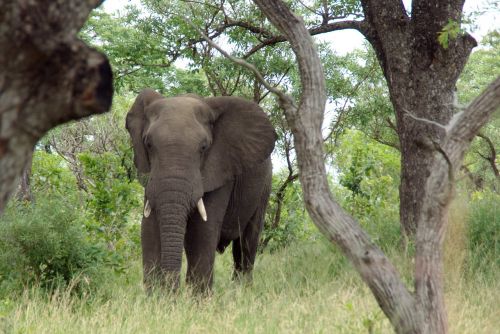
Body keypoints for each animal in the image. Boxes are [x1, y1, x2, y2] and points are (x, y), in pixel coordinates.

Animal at [125, 88, 278, 292]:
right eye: (148, 144)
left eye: (204, 147)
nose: (173, 292)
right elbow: (149, 230)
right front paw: (156, 297)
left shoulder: (220, 167)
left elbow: (202, 232)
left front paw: (198, 299)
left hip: (264, 186)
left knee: (247, 242)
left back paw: (242, 291)